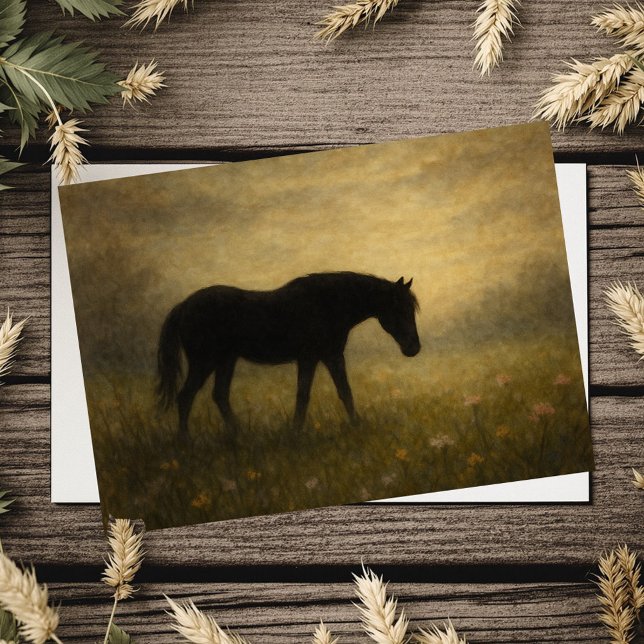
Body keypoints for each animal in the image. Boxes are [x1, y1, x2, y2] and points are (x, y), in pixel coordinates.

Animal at [157, 271, 421, 435]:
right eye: (400, 309)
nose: (414, 348)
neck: (327, 304)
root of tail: (184, 306)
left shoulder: (332, 356)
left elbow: (345, 392)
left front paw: (357, 425)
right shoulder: (309, 358)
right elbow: (303, 395)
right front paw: (296, 432)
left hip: (226, 360)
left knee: (219, 395)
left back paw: (238, 436)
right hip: (205, 361)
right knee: (186, 397)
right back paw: (186, 441)